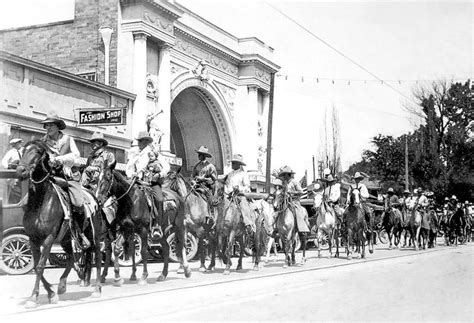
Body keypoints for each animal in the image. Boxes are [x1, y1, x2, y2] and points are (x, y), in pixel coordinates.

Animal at [16, 140, 102, 310]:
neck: (40, 202)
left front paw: (33, 298)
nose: (20, 170)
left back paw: (97, 288)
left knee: (97, 254)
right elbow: (36, 266)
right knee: (71, 258)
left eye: (37, 152)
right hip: (66, 239)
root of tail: (92, 195)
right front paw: (50, 293)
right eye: (23, 150)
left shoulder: (49, 238)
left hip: (93, 234)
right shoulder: (33, 239)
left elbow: (40, 266)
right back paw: (62, 285)